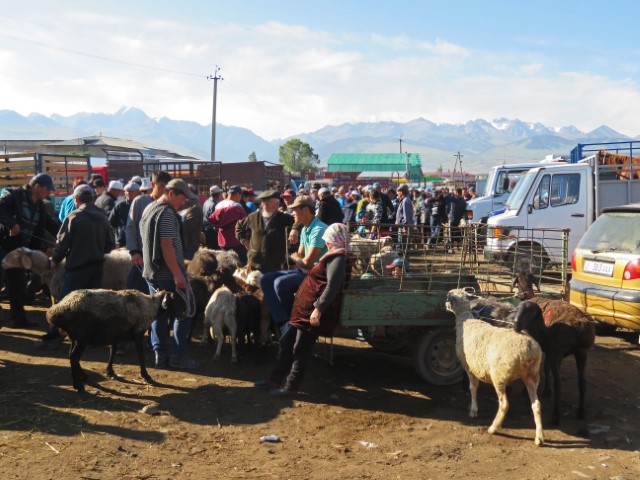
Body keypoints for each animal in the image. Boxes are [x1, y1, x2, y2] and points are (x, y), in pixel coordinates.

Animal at [45, 286, 176, 392]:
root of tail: (59, 309)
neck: (151, 305)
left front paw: (110, 371)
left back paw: (83, 376)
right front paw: (146, 375)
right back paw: (78, 385)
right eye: (174, 300)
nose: (181, 316)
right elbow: (141, 355)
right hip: (82, 338)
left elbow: (112, 351)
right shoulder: (138, 333)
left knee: (71, 355)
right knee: (74, 357)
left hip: (74, 337)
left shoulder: (115, 334)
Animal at [444, 284, 544, 446]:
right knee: (537, 405)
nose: (444, 305)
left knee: (504, 404)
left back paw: (493, 428)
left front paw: (473, 410)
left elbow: (473, 387)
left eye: (448, 296)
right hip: (532, 375)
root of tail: (529, 349)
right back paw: (539, 437)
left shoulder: (468, 365)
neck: (466, 319)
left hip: (500, 376)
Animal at [512, 270, 596, 424]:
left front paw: (527, 392)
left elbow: (539, 369)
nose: (516, 325)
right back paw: (581, 412)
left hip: (560, 352)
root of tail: (577, 326)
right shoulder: (549, 351)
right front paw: (546, 390)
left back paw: (556, 416)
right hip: (582, 352)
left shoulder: (548, 351)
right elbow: (546, 368)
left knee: (559, 384)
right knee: (582, 382)